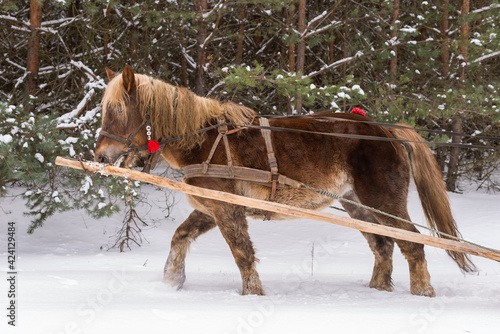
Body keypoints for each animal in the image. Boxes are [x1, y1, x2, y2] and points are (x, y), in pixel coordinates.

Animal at [95, 65, 474, 298]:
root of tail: (385, 130)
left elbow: (242, 253)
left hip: (384, 199)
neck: (204, 139)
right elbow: (180, 237)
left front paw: (253, 294)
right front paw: (171, 282)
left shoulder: (227, 208)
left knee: (412, 245)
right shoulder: (211, 207)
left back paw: (423, 294)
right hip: (357, 204)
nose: (100, 156)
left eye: (117, 110)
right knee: (384, 246)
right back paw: (377, 290)